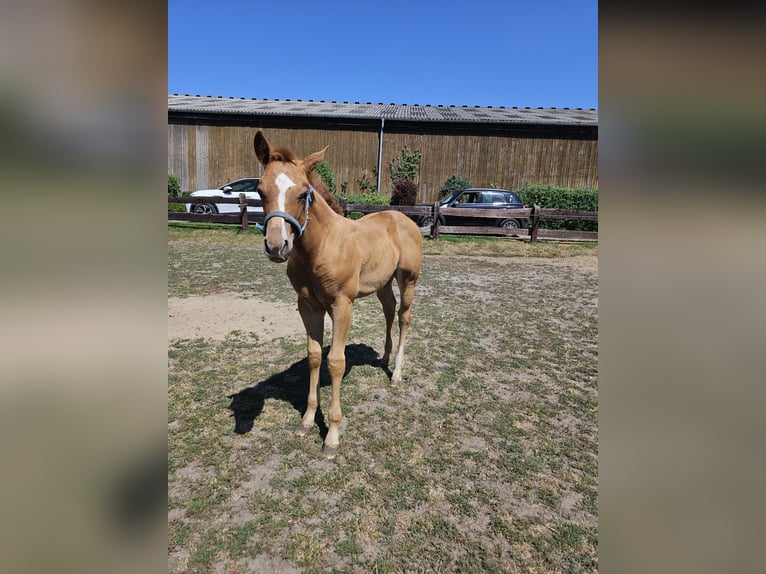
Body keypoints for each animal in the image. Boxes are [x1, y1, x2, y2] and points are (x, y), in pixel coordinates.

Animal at [252, 131, 423, 459]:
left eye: (303, 193)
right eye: (259, 191)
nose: (277, 246)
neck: (321, 246)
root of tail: (403, 218)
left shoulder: (342, 305)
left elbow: (335, 362)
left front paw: (331, 435)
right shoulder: (308, 306)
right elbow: (315, 356)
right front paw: (307, 420)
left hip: (408, 279)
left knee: (404, 316)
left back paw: (396, 373)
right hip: (383, 282)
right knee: (389, 309)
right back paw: (384, 357)